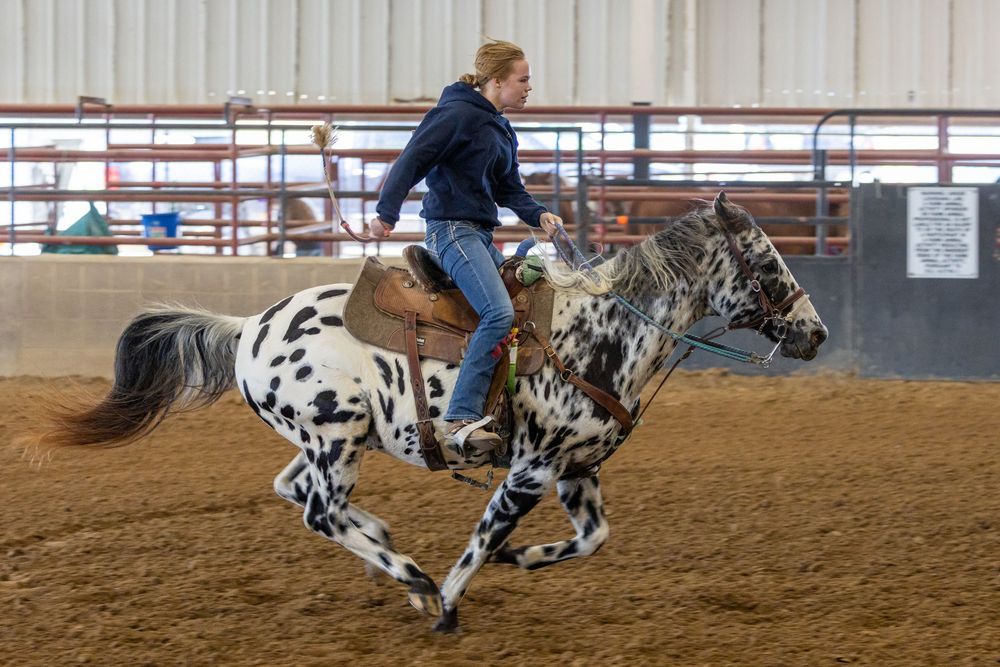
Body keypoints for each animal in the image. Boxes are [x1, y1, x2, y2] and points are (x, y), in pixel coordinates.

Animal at [47, 192, 827, 633]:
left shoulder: (578, 468)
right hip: (337, 433)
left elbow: (591, 538)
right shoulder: (531, 468)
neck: (603, 329)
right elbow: (481, 538)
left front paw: (523, 557)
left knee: (295, 491)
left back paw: (389, 554)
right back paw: (413, 579)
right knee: (319, 511)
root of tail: (249, 327)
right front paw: (449, 602)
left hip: (330, 437)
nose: (815, 333)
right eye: (766, 261)